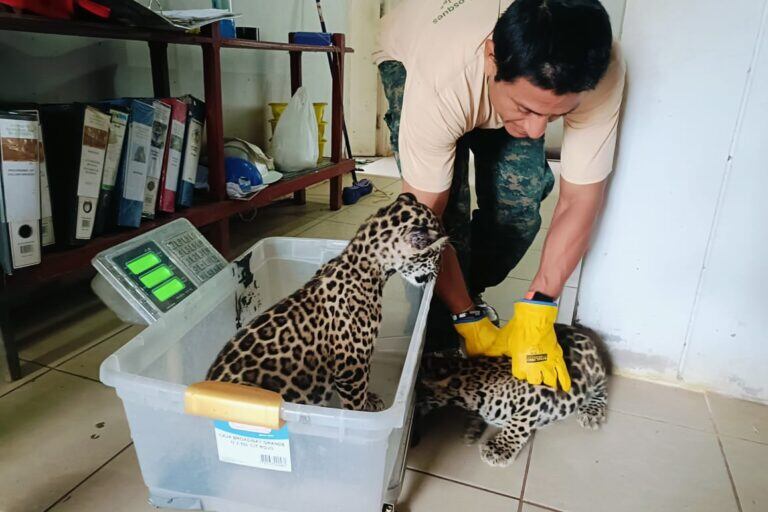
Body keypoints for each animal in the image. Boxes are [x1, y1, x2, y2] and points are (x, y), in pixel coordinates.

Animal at [206, 192, 448, 411]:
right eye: (434, 255)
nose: (437, 272)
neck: (363, 265)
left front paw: (370, 399)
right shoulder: (351, 367)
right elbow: (355, 404)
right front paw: (362, 412)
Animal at [416, 324, 609, 467]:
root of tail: (580, 329)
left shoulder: (537, 393)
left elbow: (518, 423)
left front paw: (498, 449)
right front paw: (473, 427)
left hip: (596, 373)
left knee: (603, 389)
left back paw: (592, 411)